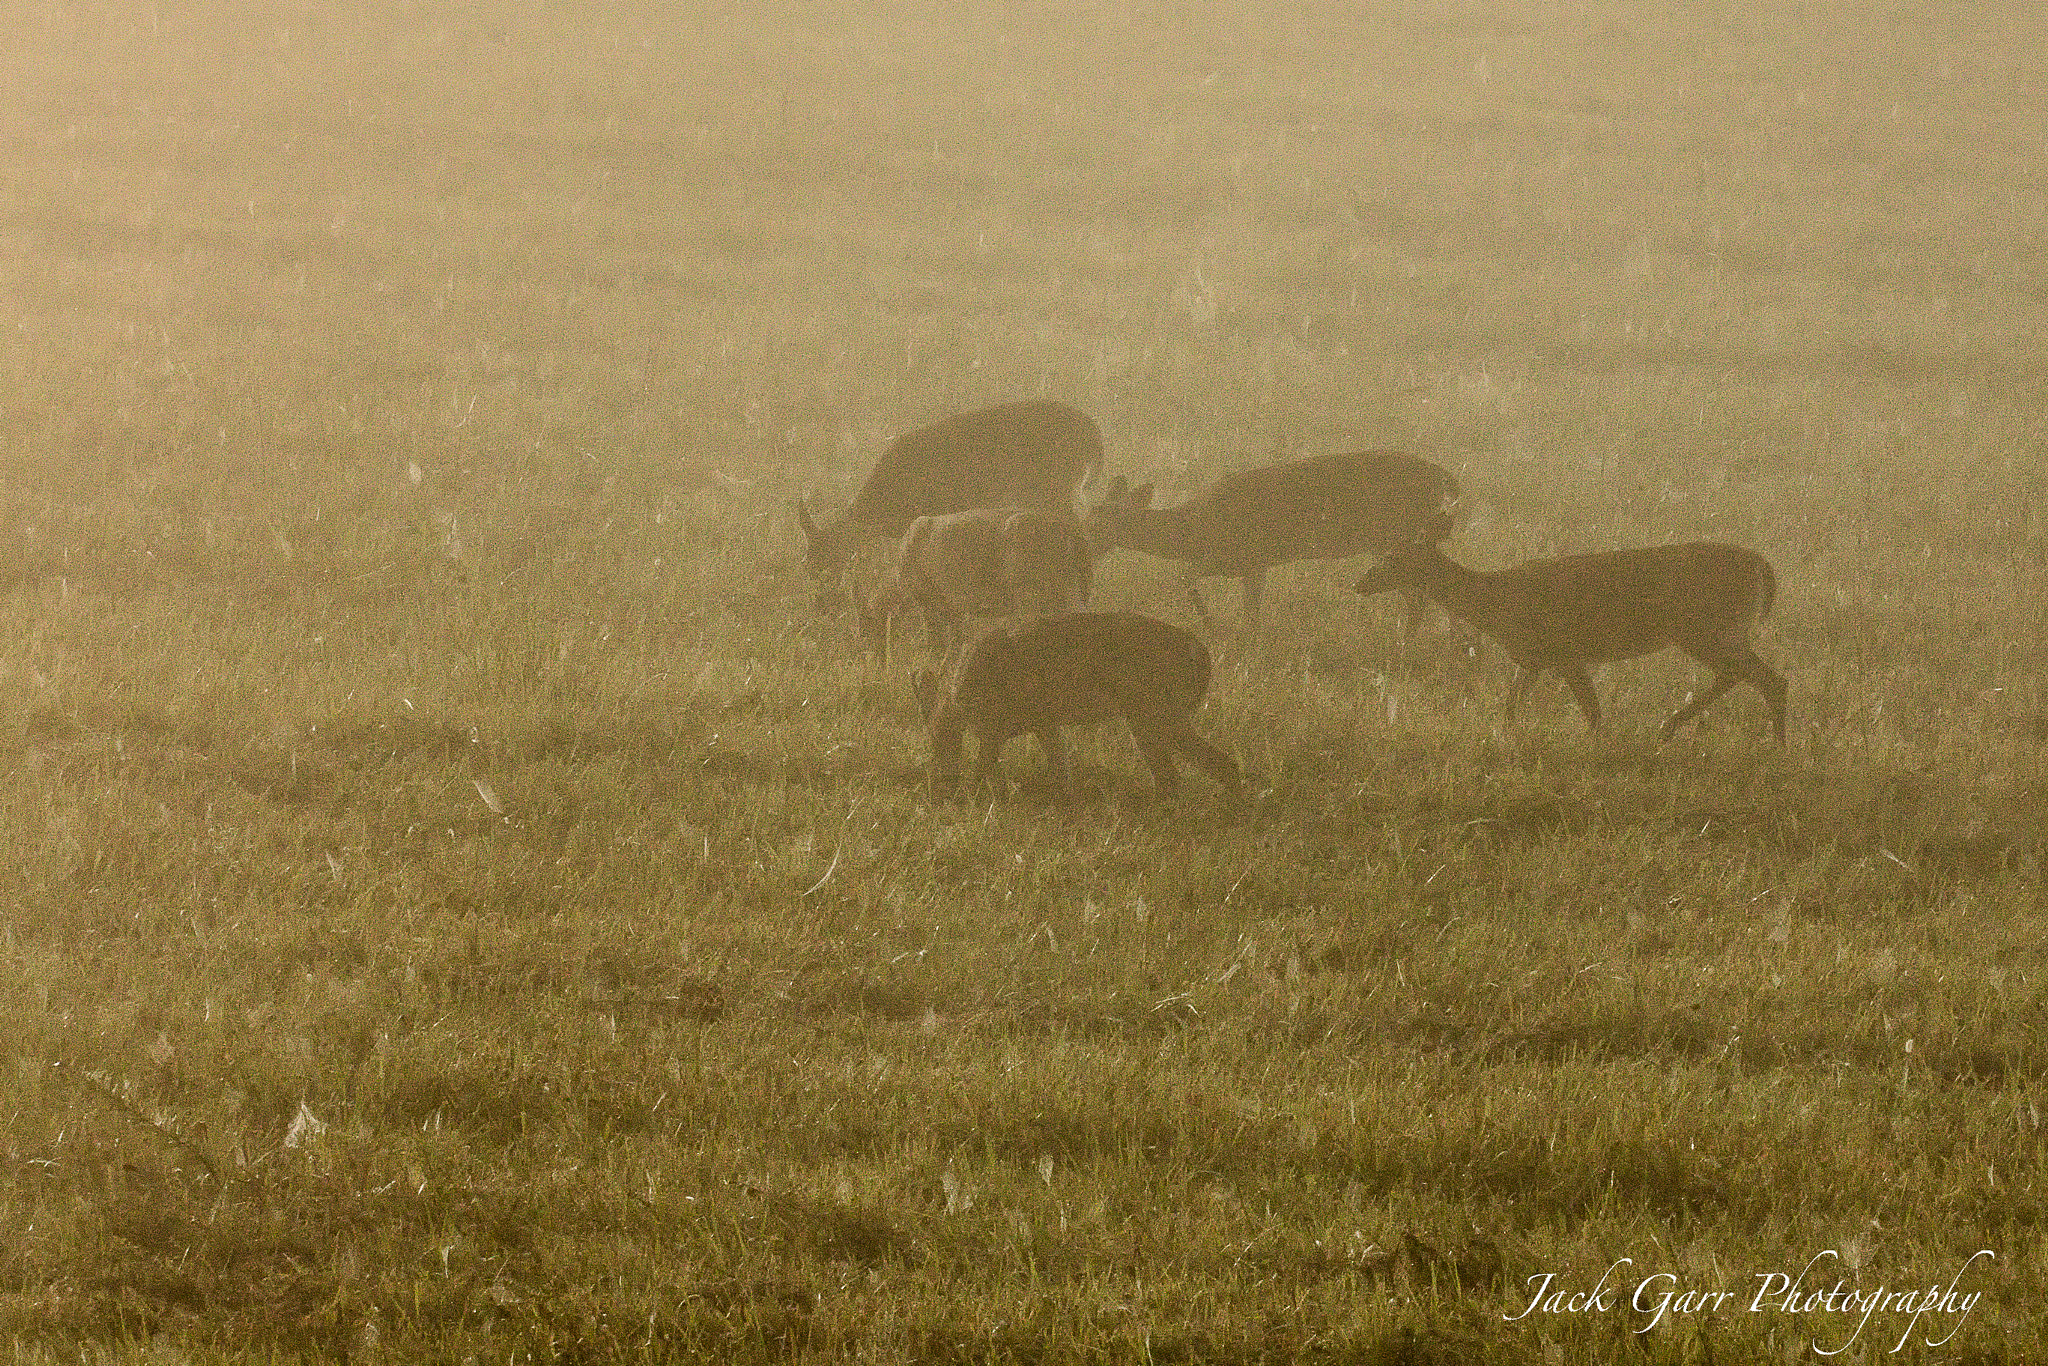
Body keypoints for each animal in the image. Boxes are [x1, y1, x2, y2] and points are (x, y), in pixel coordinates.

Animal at [860, 507, 1093, 657]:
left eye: (867, 622)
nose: (872, 656)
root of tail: (1071, 530)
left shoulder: (927, 601)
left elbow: (936, 644)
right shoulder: (952, 610)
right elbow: (954, 643)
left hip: (1039, 593)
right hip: (1072, 589)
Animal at [912, 610, 1243, 801]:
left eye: (937, 737)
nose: (943, 781)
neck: (959, 695)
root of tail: (1201, 652)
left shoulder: (995, 728)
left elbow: (982, 769)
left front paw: (972, 798)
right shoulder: (1045, 722)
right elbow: (1061, 770)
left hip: (1153, 716)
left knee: (1205, 768)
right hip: (1152, 720)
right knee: (1187, 774)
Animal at [1082, 449, 1460, 630]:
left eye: (1095, 523)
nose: (1080, 546)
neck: (1191, 529)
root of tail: (1442, 475)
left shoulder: (1231, 554)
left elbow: (1184, 576)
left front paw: (1211, 624)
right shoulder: (1255, 565)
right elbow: (1252, 614)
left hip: (1395, 535)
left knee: (1419, 597)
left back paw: (1405, 645)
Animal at [1352, 533, 1788, 743]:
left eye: (1391, 558)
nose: (1360, 583)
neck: (1493, 602)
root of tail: (1765, 569)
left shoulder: (1564, 651)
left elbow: (1593, 713)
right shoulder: (1533, 658)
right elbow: (1511, 707)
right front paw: (1499, 738)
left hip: (1705, 628)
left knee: (1769, 679)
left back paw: (1776, 746)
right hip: (1719, 632)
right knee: (1744, 676)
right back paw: (1670, 727)